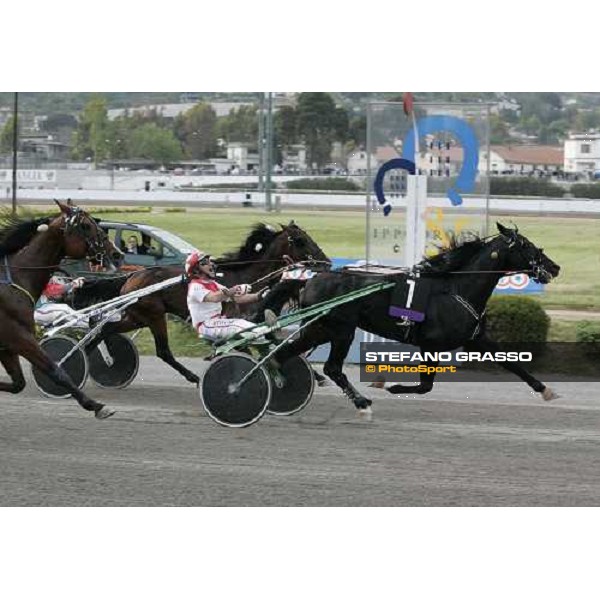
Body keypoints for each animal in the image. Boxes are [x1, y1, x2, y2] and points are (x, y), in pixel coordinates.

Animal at [0, 202, 120, 418]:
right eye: (86, 226)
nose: (116, 253)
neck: (14, 280)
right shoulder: (18, 337)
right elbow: (55, 370)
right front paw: (96, 406)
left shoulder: (6, 347)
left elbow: (17, 384)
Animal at [270, 223, 560, 414]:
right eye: (526, 245)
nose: (555, 266)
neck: (456, 289)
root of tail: (311, 279)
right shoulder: (430, 345)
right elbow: (424, 387)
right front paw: (388, 385)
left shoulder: (476, 339)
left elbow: (512, 363)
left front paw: (546, 390)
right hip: (340, 330)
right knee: (331, 367)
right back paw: (361, 402)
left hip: (319, 329)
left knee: (283, 355)